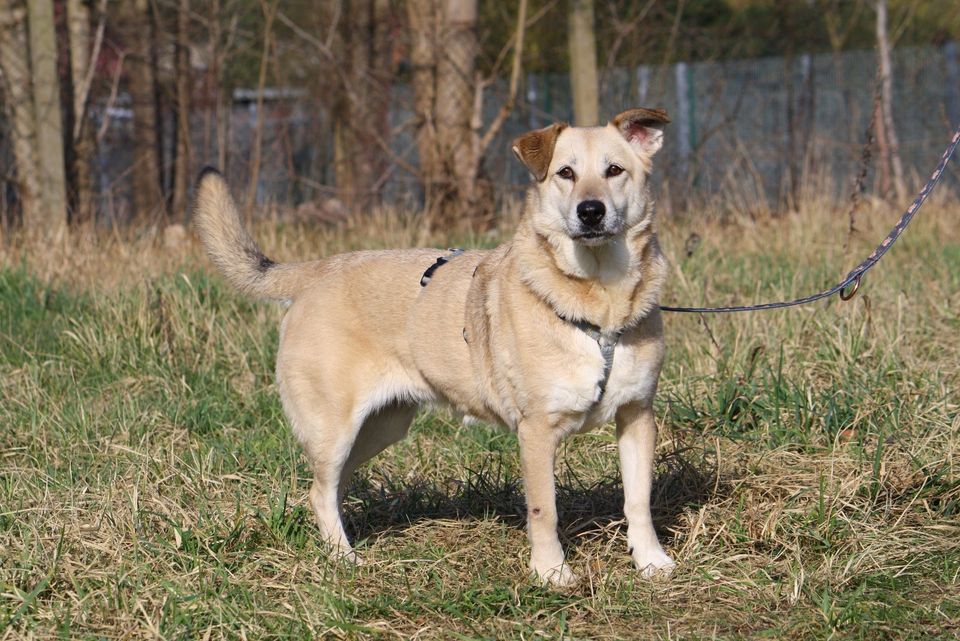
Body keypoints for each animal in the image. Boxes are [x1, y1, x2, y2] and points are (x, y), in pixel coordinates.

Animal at [193, 106, 676, 584]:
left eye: (614, 170)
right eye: (566, 173)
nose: (590, 211)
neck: (600, 301)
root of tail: (317, 270)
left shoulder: (637, 416)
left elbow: (638, 500)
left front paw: (651, 561)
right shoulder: (537, 431)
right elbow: (544, 510)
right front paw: (551, 572)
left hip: (381, 426)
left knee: (331, 486)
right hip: (334, 429)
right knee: (320, 490)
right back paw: (343, 559)